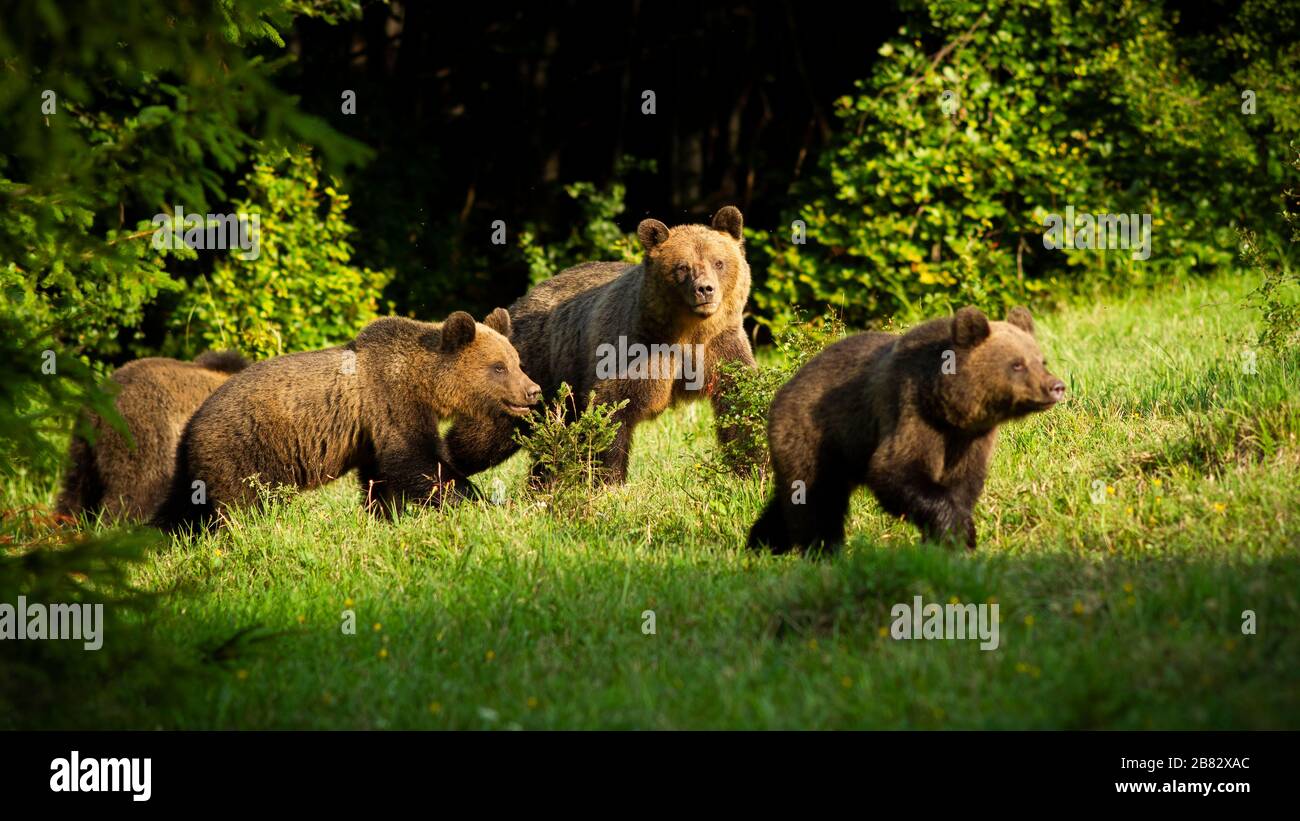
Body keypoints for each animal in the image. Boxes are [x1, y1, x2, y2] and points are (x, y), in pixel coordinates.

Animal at [153, 310, 540, 531]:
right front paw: (478, 501)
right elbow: (417, 461)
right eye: (498, 367)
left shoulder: (372, 432)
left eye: (517, 361)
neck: (423, 383)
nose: (532, 391)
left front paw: (386, 516)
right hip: (243, 450)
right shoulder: (391, 400)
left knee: (182, 509)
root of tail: (192, 424)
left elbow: (381, 477)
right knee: (243, 506)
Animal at [446, 206, 757, 484]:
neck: (688, 332)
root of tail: (521, 301)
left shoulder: (721, 346)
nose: (705, 289)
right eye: (682, 267)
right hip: (528, 368)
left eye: (719, 262)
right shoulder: (636, 348)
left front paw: (752, 470)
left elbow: (740, 403)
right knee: (487, 434)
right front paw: (609, 480)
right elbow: (611, 409)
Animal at [747, 306, 1065, 554]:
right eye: (1017, 364)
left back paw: (761, 542)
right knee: (815, 498)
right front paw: (960, 532)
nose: (1056, 386)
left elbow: (962, 485)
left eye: (1041, 360)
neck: (948, 409)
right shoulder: (910, 411)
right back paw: (821, 550)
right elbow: (895, 471)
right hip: (813, 435)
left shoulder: (970, 440)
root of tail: (785, 388)